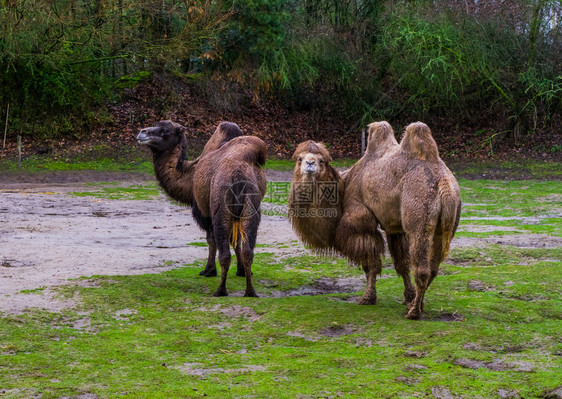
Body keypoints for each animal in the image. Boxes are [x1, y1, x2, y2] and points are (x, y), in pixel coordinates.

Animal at [137, 120, 266, 298]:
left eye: (165, 131)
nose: (141, 132)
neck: (190, 177)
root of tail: (239, 175)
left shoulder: (203, 212)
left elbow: (211, 240)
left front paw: (208, 270)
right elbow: (237, 241)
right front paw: (241, 271)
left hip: (221, 207)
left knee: (224, 252)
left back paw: (220, 290)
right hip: (251, 205)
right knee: (248, 250)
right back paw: (250, 291)